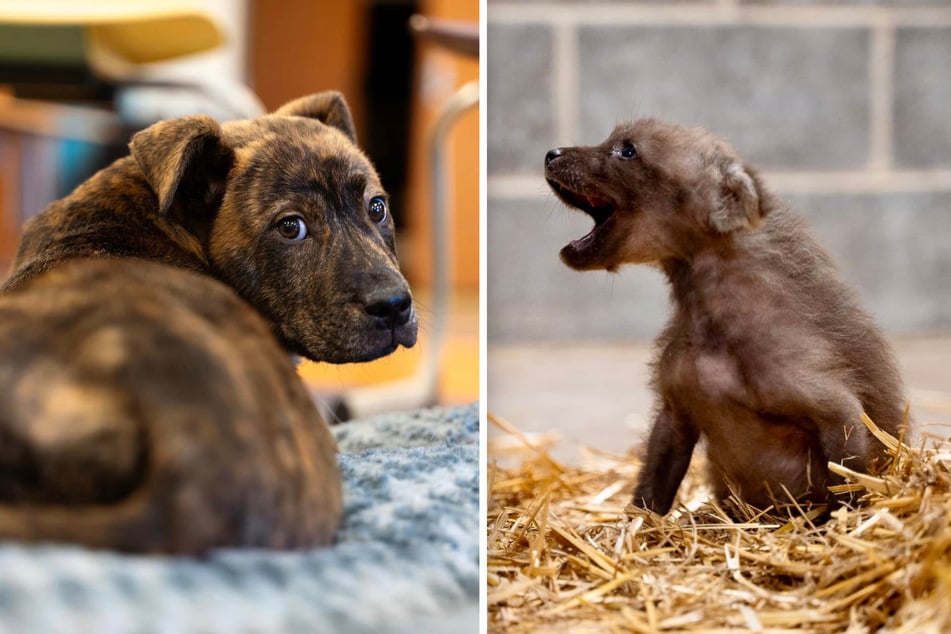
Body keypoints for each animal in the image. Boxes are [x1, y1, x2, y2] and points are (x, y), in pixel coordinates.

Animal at [548, 118, 904, 512]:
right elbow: (650, 493)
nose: (551, 154)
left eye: (627, 150)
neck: (712, 319)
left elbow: (848, 487)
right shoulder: (673, 416)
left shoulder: (840, 413)